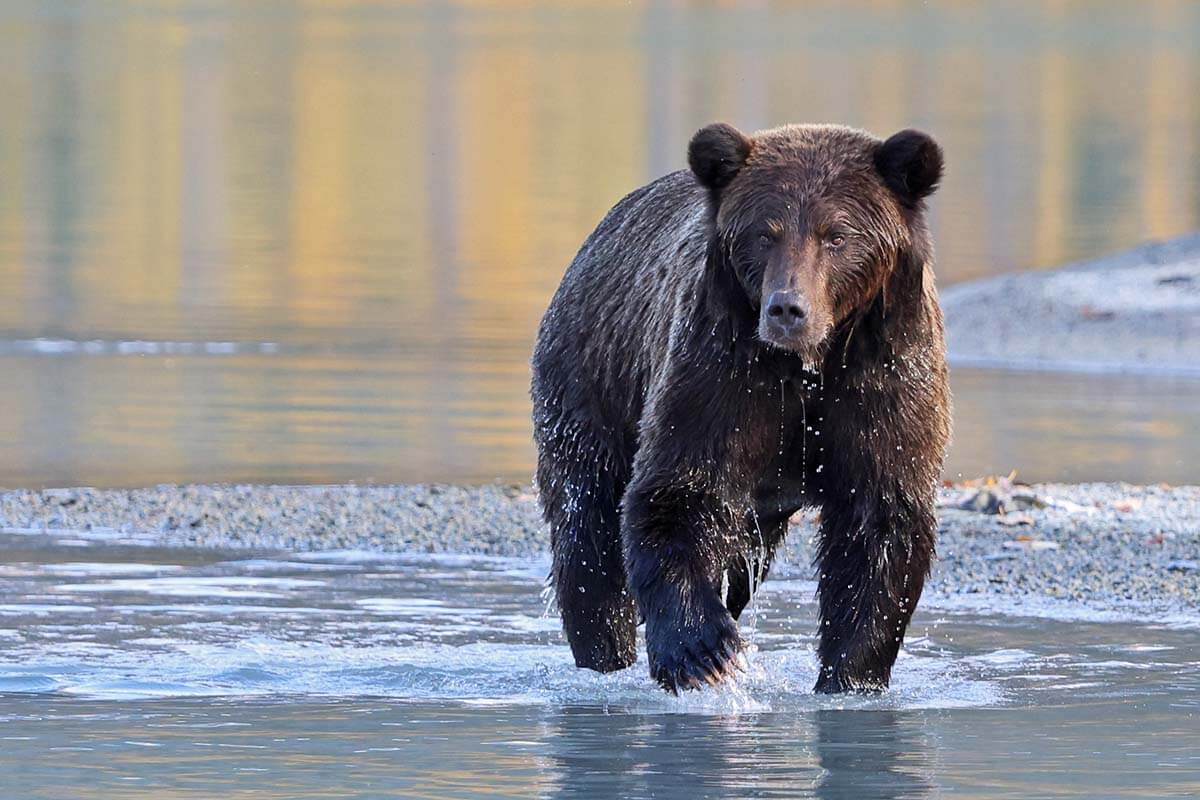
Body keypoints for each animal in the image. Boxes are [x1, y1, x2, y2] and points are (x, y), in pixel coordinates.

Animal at [530, 122, 950, 690]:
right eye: (764, 233)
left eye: (837, 235)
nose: (787, 309)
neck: (808, 365)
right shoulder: (721, 372)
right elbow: (679, 491)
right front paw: (703, 650)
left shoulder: (883, 378)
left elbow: (882, 524)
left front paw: (850, 675)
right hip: (592, 379)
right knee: (586, 527)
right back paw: (605, 653)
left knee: (738, 561)